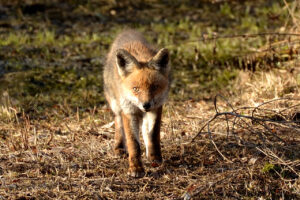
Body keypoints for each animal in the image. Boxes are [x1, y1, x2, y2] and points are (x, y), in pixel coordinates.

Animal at [103, 29, 170, 177]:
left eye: (154, 87)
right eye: (136, 89)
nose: (146, 105)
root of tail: (127, 31)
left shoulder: (156, 108)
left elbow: (153, 135)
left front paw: (155, 158)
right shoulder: (129, 111)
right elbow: (133, 143)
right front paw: (136, 168)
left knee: (145, 132)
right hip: (116, 106)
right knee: (118, 123)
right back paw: (118, 147)